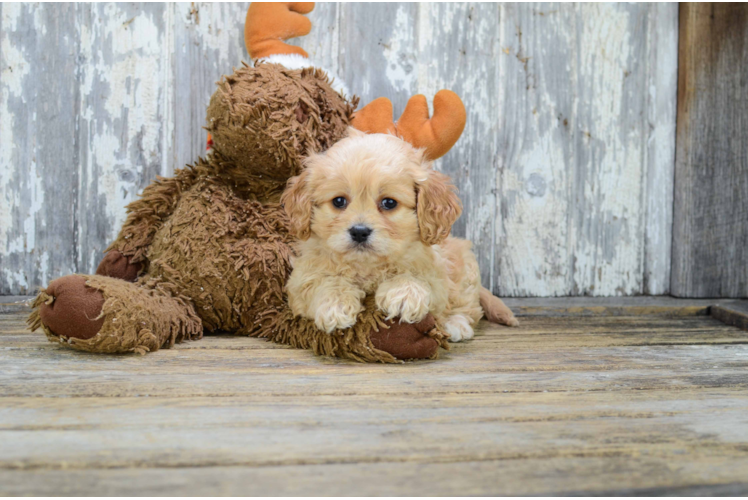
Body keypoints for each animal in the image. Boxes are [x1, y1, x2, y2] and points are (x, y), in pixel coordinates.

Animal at [280, 129, 520, 342]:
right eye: (339, 201)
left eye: (389, 203)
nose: (359, 231)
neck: (367, 266)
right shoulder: (300, 280)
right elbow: (323, 281)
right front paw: (335, 304)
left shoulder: (437, 274)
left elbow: (417, 278)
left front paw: (404, 295)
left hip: (464, 270)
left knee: (467, 305)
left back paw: (456, 324)